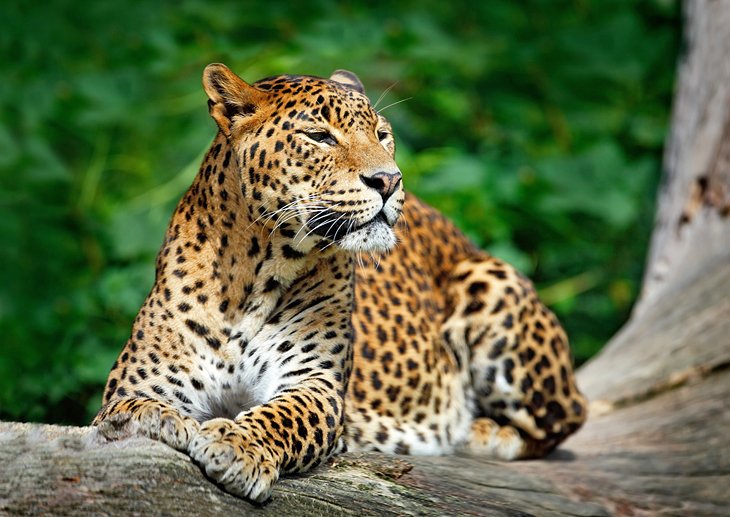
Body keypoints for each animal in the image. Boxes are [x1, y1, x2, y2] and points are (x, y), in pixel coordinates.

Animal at [95, 62, 584, 502]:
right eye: (320, 137)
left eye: (382, 135)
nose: (389, 180)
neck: (255, 272)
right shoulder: (139, 382)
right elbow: (129, 409)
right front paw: (159, 421)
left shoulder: (315, 383)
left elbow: (281, 416)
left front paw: (236, 446)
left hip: (491, 281)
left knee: (567, 417)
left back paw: (478, 431)